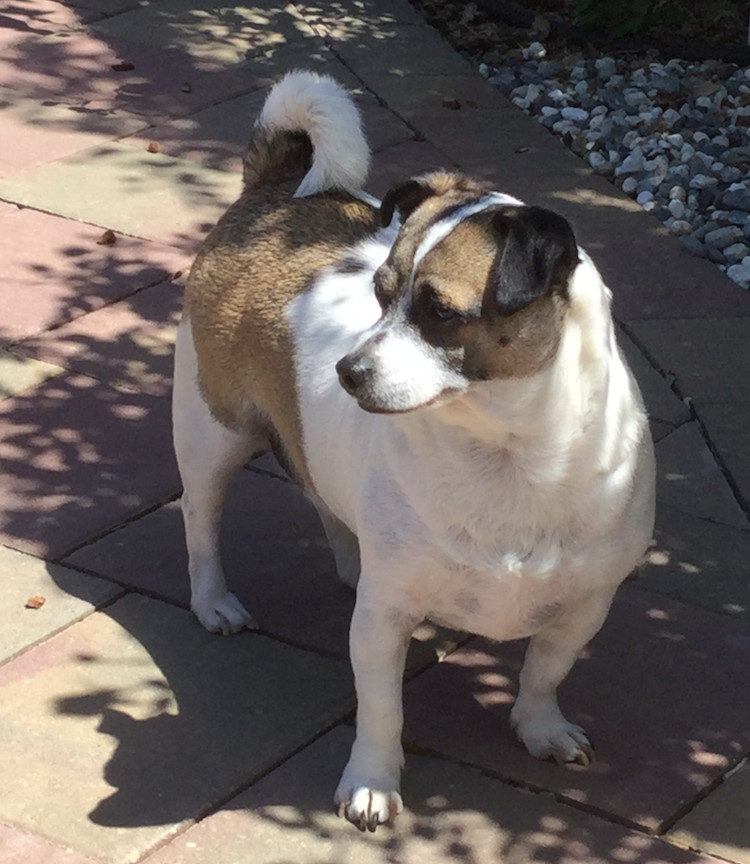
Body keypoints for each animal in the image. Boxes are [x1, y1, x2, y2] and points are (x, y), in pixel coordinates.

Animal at [172, 72, 656, 832]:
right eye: (378, 295)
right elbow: (382, 709)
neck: (506, 452)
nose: (347, 372)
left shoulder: (585, 607)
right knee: (201, 521)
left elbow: (544, 672)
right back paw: (214, 599)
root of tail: (274, 191)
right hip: (211, 431)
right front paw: (372, 782)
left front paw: (540, 727)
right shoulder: (383, 622)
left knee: (326, 500)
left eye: (441, 313)